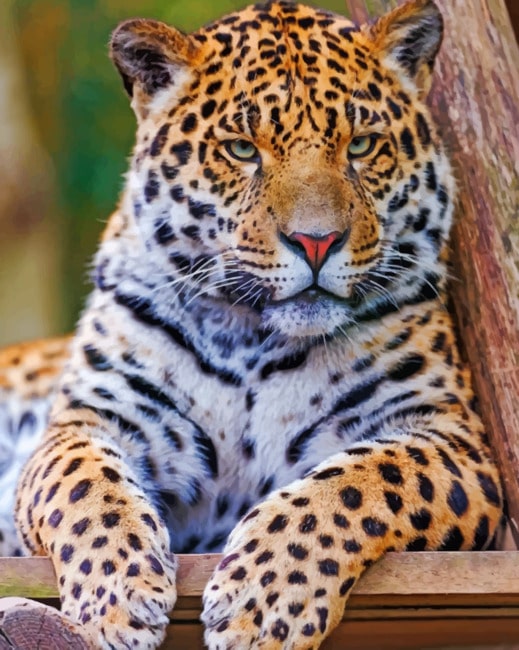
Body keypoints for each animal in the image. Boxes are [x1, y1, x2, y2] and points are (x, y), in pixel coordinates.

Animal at [0, 0, 503, 648]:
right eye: (242, 150)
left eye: (363, 146)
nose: (316, 242)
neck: (253, 338)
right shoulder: (91, 420)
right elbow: (83, 485)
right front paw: (115, 602)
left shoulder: (452, 437)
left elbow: (356, 481)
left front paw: (264, 604)